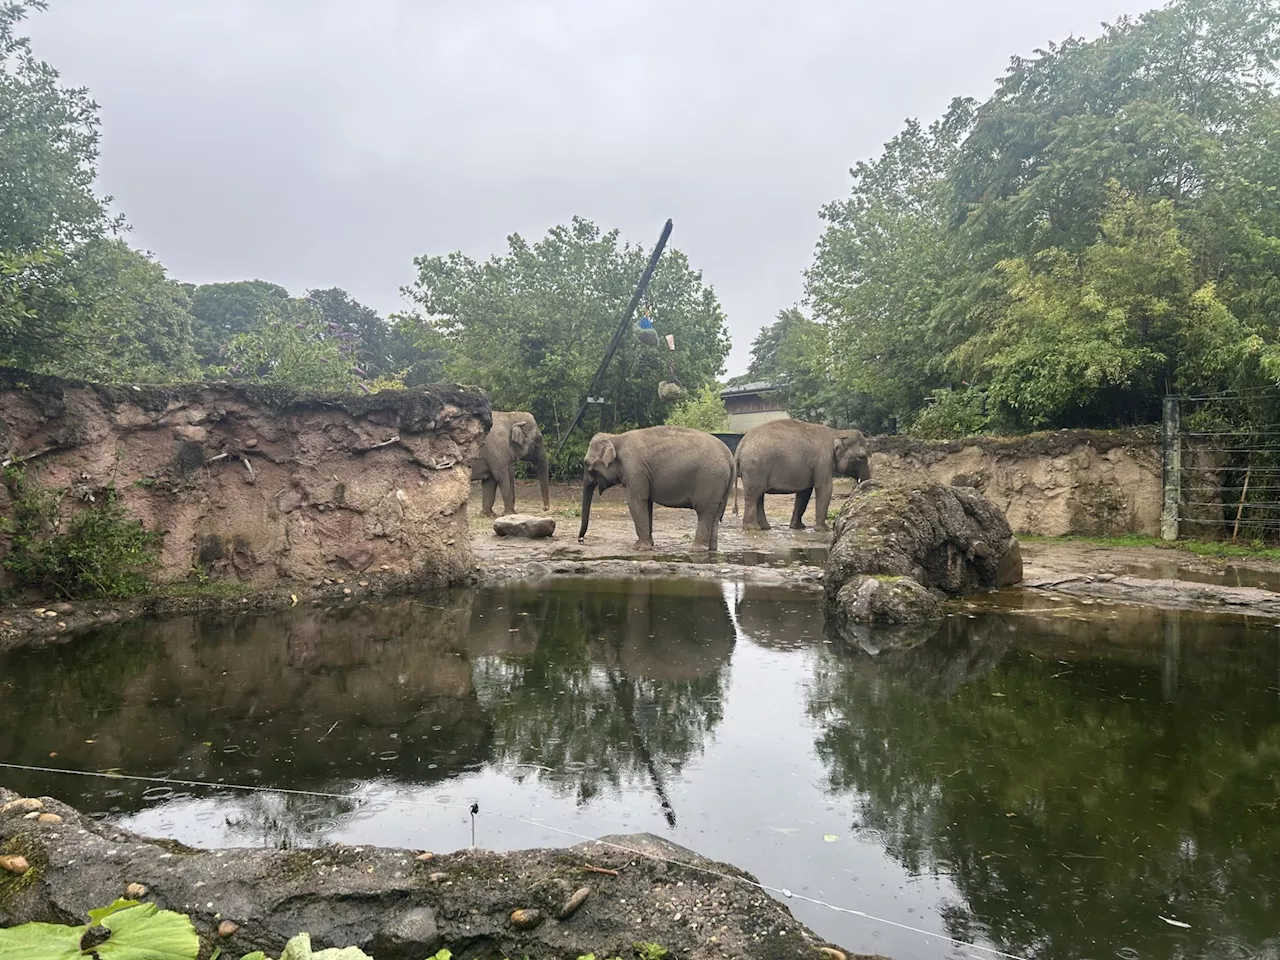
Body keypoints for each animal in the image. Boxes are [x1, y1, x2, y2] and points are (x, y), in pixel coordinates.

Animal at [578, 427, 737, 552]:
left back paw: (697, 549)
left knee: (704, 512)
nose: (581, 540)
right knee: (715, 514)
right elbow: (646, 503)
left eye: (586, 463)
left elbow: (636, 501)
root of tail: (730, 457)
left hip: (709, 479)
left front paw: (640, 548)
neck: (616, 437)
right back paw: (712, 549)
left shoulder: (635, 468)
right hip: (721, 485)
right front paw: (648, 544)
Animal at [732, 417, 870, 529]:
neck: (836, 432)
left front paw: (798, 527)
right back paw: (752, 528)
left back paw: (765, 527)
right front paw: (824, 529)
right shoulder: (823, 461)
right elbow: (824, 488)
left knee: (759, 495)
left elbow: (805, 492)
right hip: (755, 467)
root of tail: (740, 446)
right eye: (861, 457)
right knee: (754, 494)